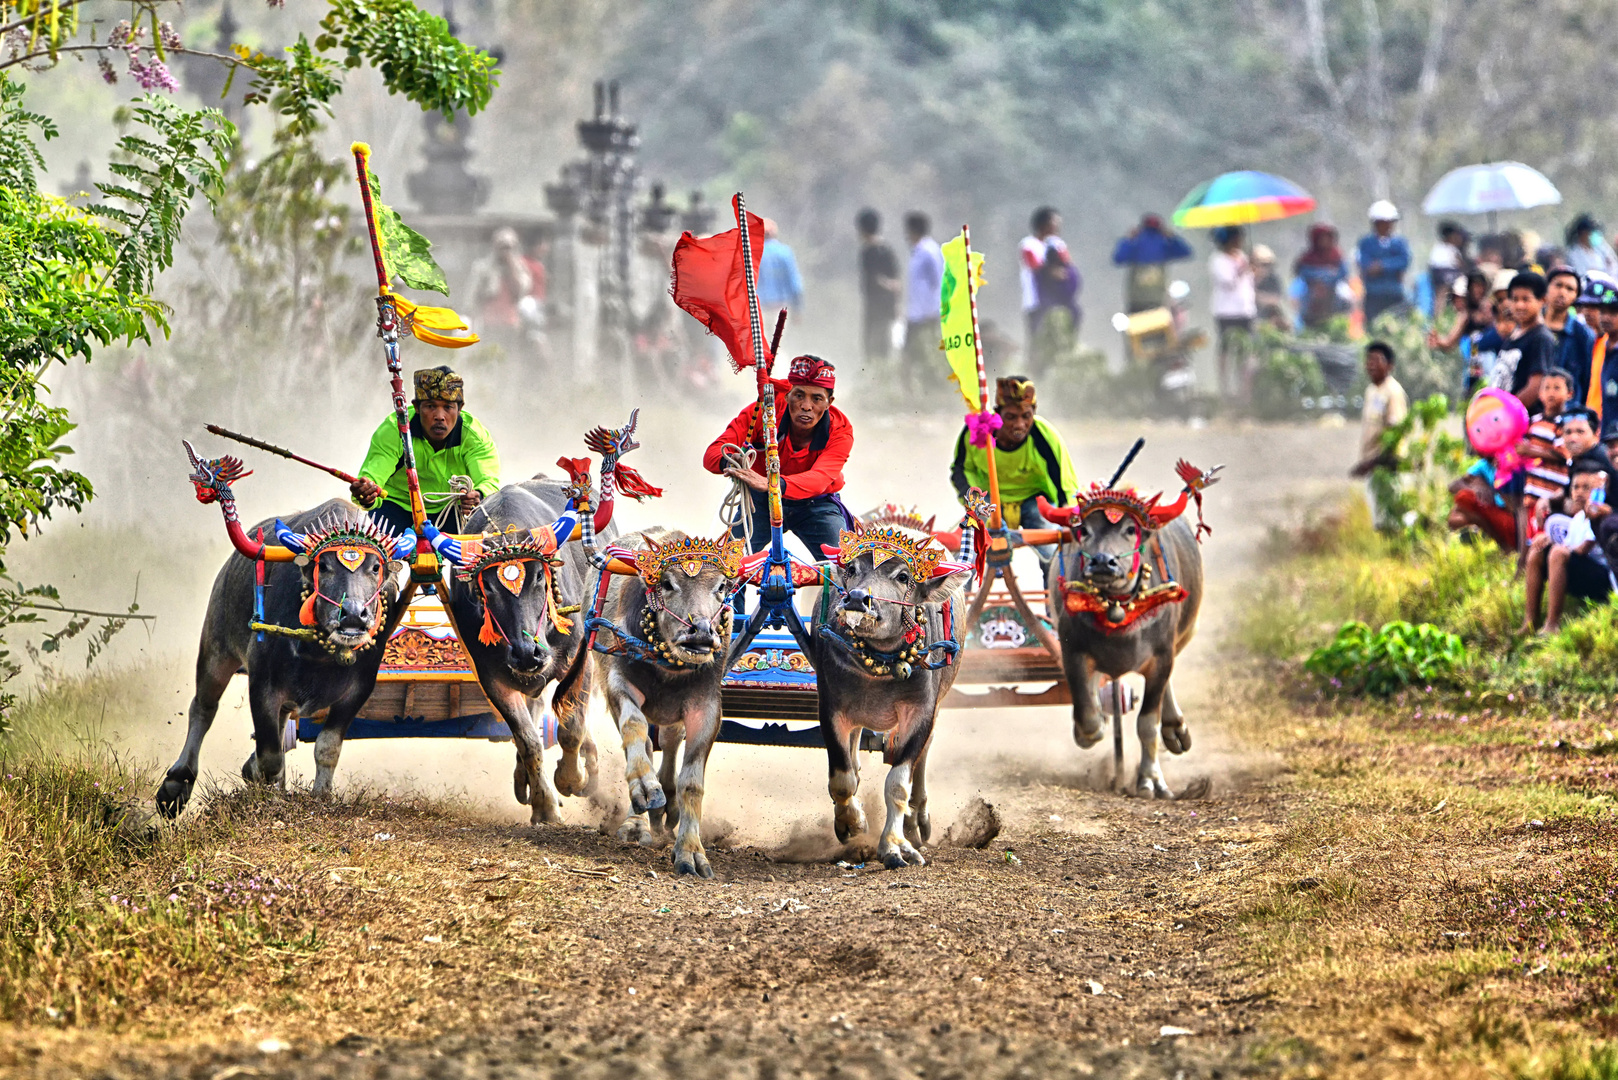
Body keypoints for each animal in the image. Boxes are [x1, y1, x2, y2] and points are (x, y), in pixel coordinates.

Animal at [156, 446, 410, 809]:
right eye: (323, 566)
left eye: (375, 567)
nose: (352, 615)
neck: (321, 654)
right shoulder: (262, 681)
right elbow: (270, 755)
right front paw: (268, 789)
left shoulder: (358, 689)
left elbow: (327, 747)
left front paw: (321, 794)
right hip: (216, 648)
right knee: (203, 707)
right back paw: (177, 783)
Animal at [588, 531, 744, 880]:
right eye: (668, 583)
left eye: (722, 586)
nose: (701, 632)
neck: (669, 667)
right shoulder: (617, 682)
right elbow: (635, 730)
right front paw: (646, 791)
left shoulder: (707, 707)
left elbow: (692, 783)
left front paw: (691, 852)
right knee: (645, 742)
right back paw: (640, 818)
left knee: (671, 742)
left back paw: (668, 806)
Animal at [809, 524, 970, 867]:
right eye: (852, 570)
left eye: (903, 576)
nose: (858, 599)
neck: (878, 664)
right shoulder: (831, 707)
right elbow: (842, 779)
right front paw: (852, 823)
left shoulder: (921, 712)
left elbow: (897, 784)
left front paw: (894, 847)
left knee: (920, 762)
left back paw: (916, 823)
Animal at [1035, 459, 1216, 799]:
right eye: (1084, 530)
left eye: (1130, 530)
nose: (1103, 562)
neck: (1116, 610)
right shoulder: (1071, 651)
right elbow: (1087, 714)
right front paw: (1092, 727)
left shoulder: (1161, 657)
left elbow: (1147, 723)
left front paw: (1150, 781)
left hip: (1185, 634)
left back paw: (1176, 729)